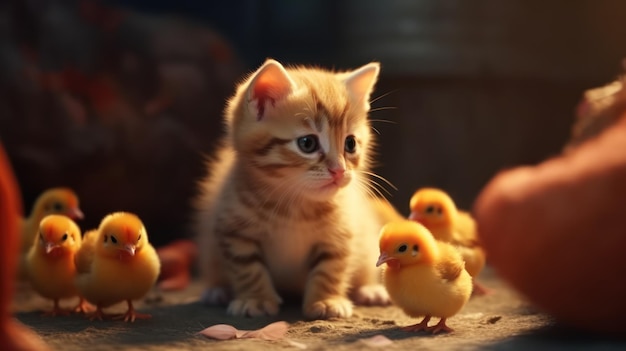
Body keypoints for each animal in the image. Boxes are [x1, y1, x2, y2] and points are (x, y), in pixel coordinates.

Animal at [193, 59, 402, 320]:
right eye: (307, 143)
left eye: (350, 144)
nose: (339, 171)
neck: (294, 206)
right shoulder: (233, 231)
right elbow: (247, 268)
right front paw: (256, 299)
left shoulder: (341, 233)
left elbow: (331, 267)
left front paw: (326, 300)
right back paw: (216, 290)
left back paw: (369, 289)